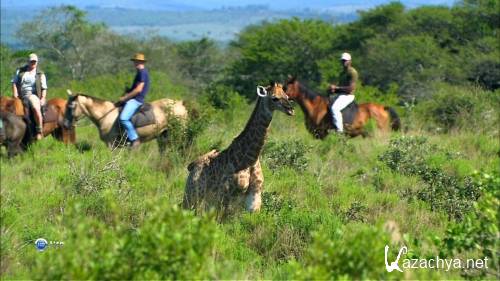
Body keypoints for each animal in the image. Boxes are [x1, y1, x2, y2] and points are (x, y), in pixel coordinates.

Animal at [183, 82, 292, 213]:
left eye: (287, 96)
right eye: (274, 98)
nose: (290, 109)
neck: (249, 160)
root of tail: (191, 167)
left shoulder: (254, 200)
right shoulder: (224, 197)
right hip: (192, 198)